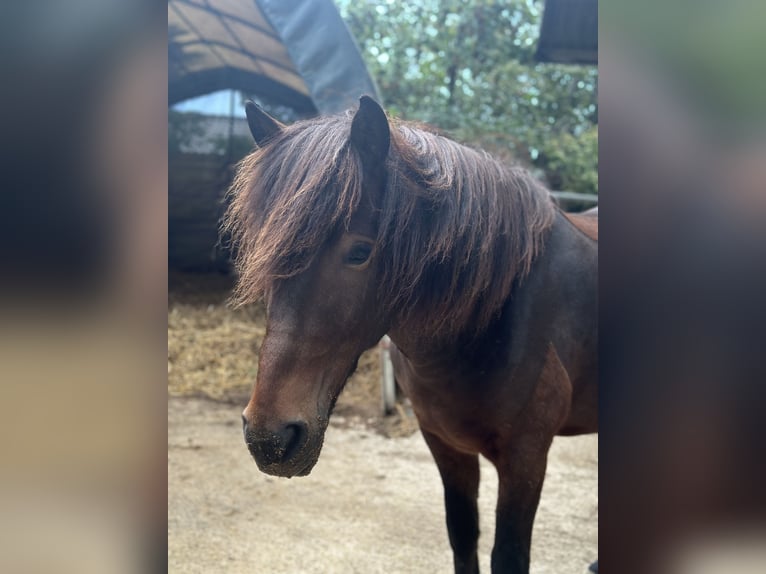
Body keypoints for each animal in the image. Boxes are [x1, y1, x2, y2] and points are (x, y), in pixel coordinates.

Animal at [228, 97, 600, 572]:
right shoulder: (445, 445)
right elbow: (462, 536)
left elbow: (508, 556)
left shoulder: (526, 459)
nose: (269, 439)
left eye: (360, 252)